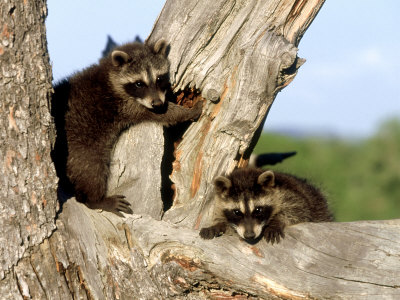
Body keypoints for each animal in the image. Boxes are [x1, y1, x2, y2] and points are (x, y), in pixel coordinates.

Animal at [52, 39, 203, 216]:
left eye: (159, 78)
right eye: (139, 83)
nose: (158, 103)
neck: (110, 74)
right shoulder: (127, 105)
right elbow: (164, 115)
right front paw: (188, 111)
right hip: (79, 147)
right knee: (91, 170)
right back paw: (95, 200)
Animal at [200, 168, 334, 245]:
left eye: (258, 210)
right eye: (237, 212)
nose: (250, 236)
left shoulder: (290, 195)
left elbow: (299, 210)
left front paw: (276, 221)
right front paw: (218, 224)